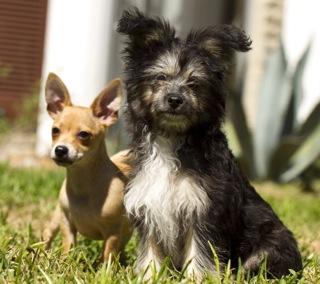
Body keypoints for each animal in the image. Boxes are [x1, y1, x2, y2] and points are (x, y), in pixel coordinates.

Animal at [116, 8, 302, 278]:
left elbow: (200, 250)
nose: (175, 99)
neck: (172, 138)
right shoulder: (148, 203)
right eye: (161, 77)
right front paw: (149, 277)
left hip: (271, 245)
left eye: (194, 83)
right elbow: (150, 250)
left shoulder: (205, 208)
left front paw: (197, 278)